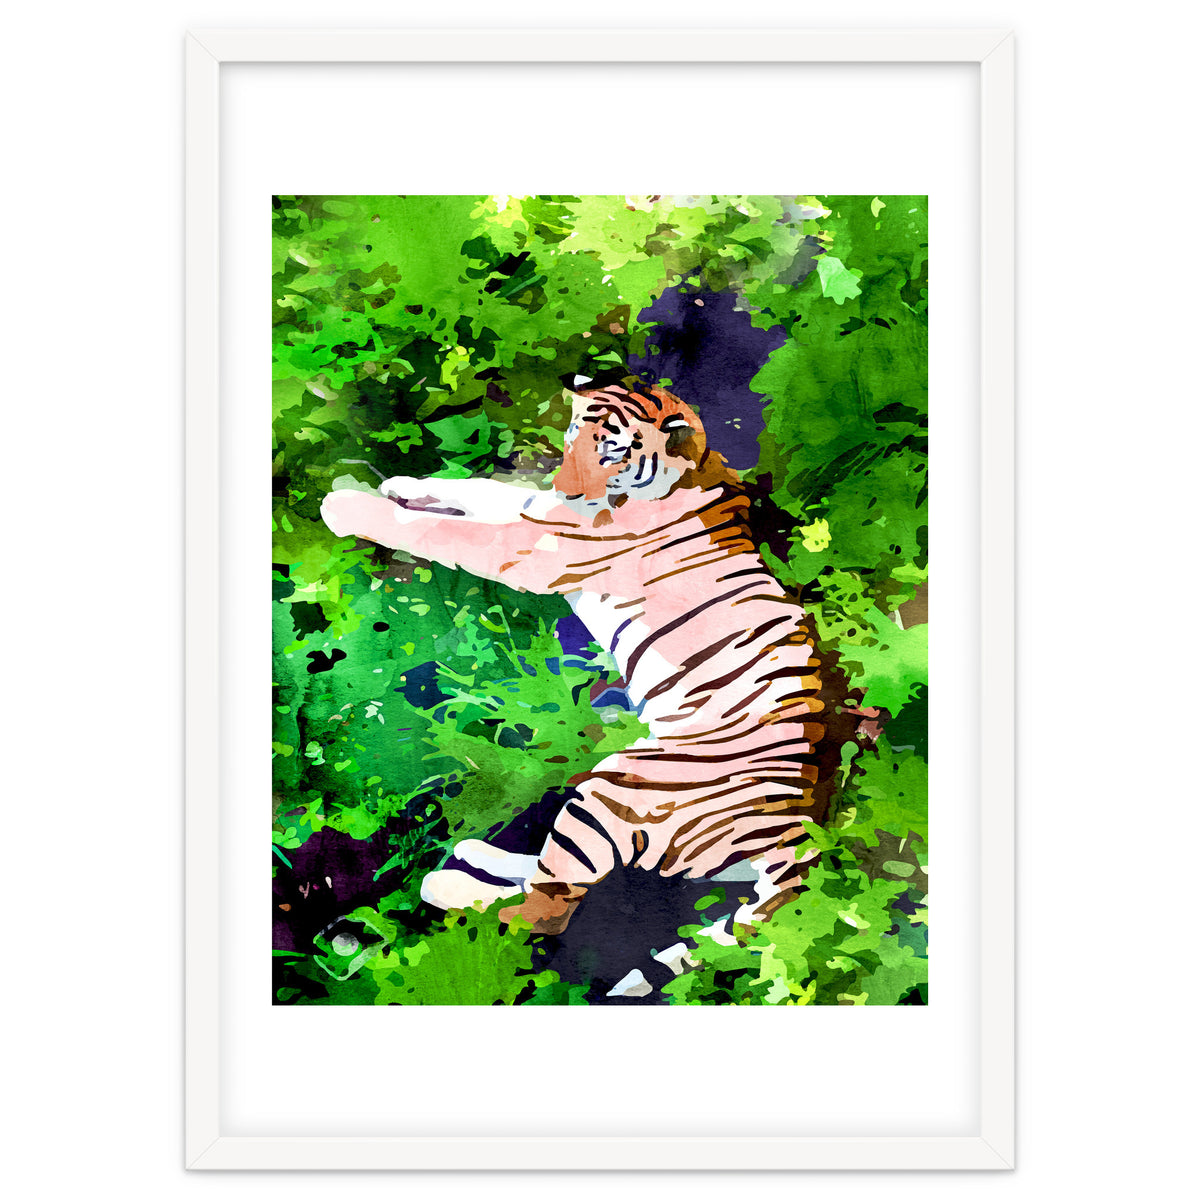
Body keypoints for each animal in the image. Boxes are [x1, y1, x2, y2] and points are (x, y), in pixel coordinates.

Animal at [320, 376, 858, 937]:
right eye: (574, 434)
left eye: (612, 452)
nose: (569, 488)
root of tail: (794, 832)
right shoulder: (538, 511)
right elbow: (483, 490)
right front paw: (401, 483)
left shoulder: (532, 545)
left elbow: (438, 530)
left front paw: (345, 505)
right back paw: (475, 852)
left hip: (614, 791)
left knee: (543, 909)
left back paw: (445, 884)